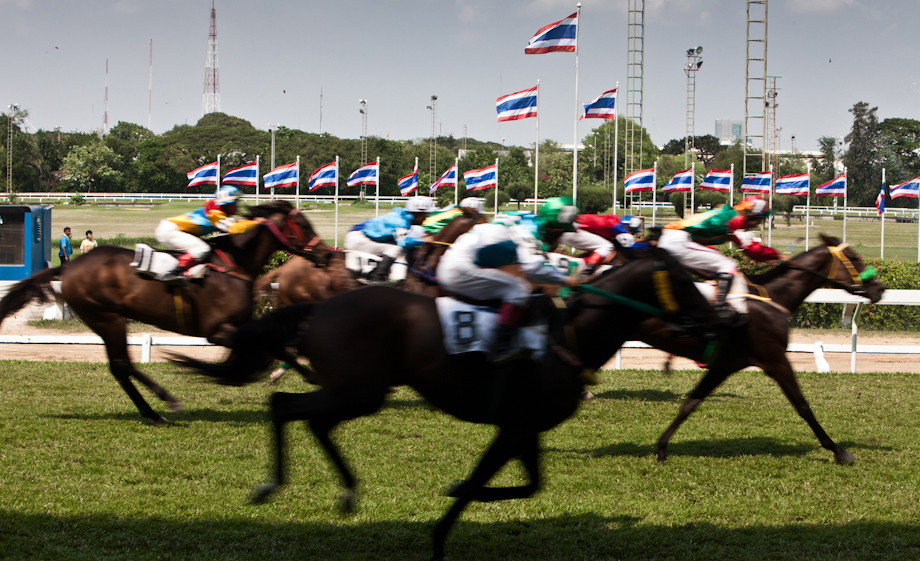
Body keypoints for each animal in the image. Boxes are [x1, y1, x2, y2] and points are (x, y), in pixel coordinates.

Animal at [0, 199, 328, 422]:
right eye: (304, 225)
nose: (325, 254)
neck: (235, 265)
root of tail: (68, 268)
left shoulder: (240, 325)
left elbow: (273, 345)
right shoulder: (218, 330)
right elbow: (271, 346)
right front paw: (312, 377)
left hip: (106, 319)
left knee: (120, 366)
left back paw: (153, 410)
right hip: (106, 316)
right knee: (122, 365)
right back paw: (164, 405)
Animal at [176, 250, 716, 560]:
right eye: (685, 280)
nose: (715, 317)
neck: (569, 338)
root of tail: (321, 305)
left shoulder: (523, 428)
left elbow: (529, 486)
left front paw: (452, 501)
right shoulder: (514, 428)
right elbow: (482, 483)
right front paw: (441, 531)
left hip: (357, 392)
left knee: (306, 417)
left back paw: (345, 490)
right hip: (357, 391)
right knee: (284, 405)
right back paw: (273, 485)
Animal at [640, 233, 884, 464]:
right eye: (854, 257)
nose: (880, 288)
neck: (771, 299)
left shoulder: (724, 365)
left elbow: (690, 404)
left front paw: (662, 447)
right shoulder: (775, 359)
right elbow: (803, 406)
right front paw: (838, 451)